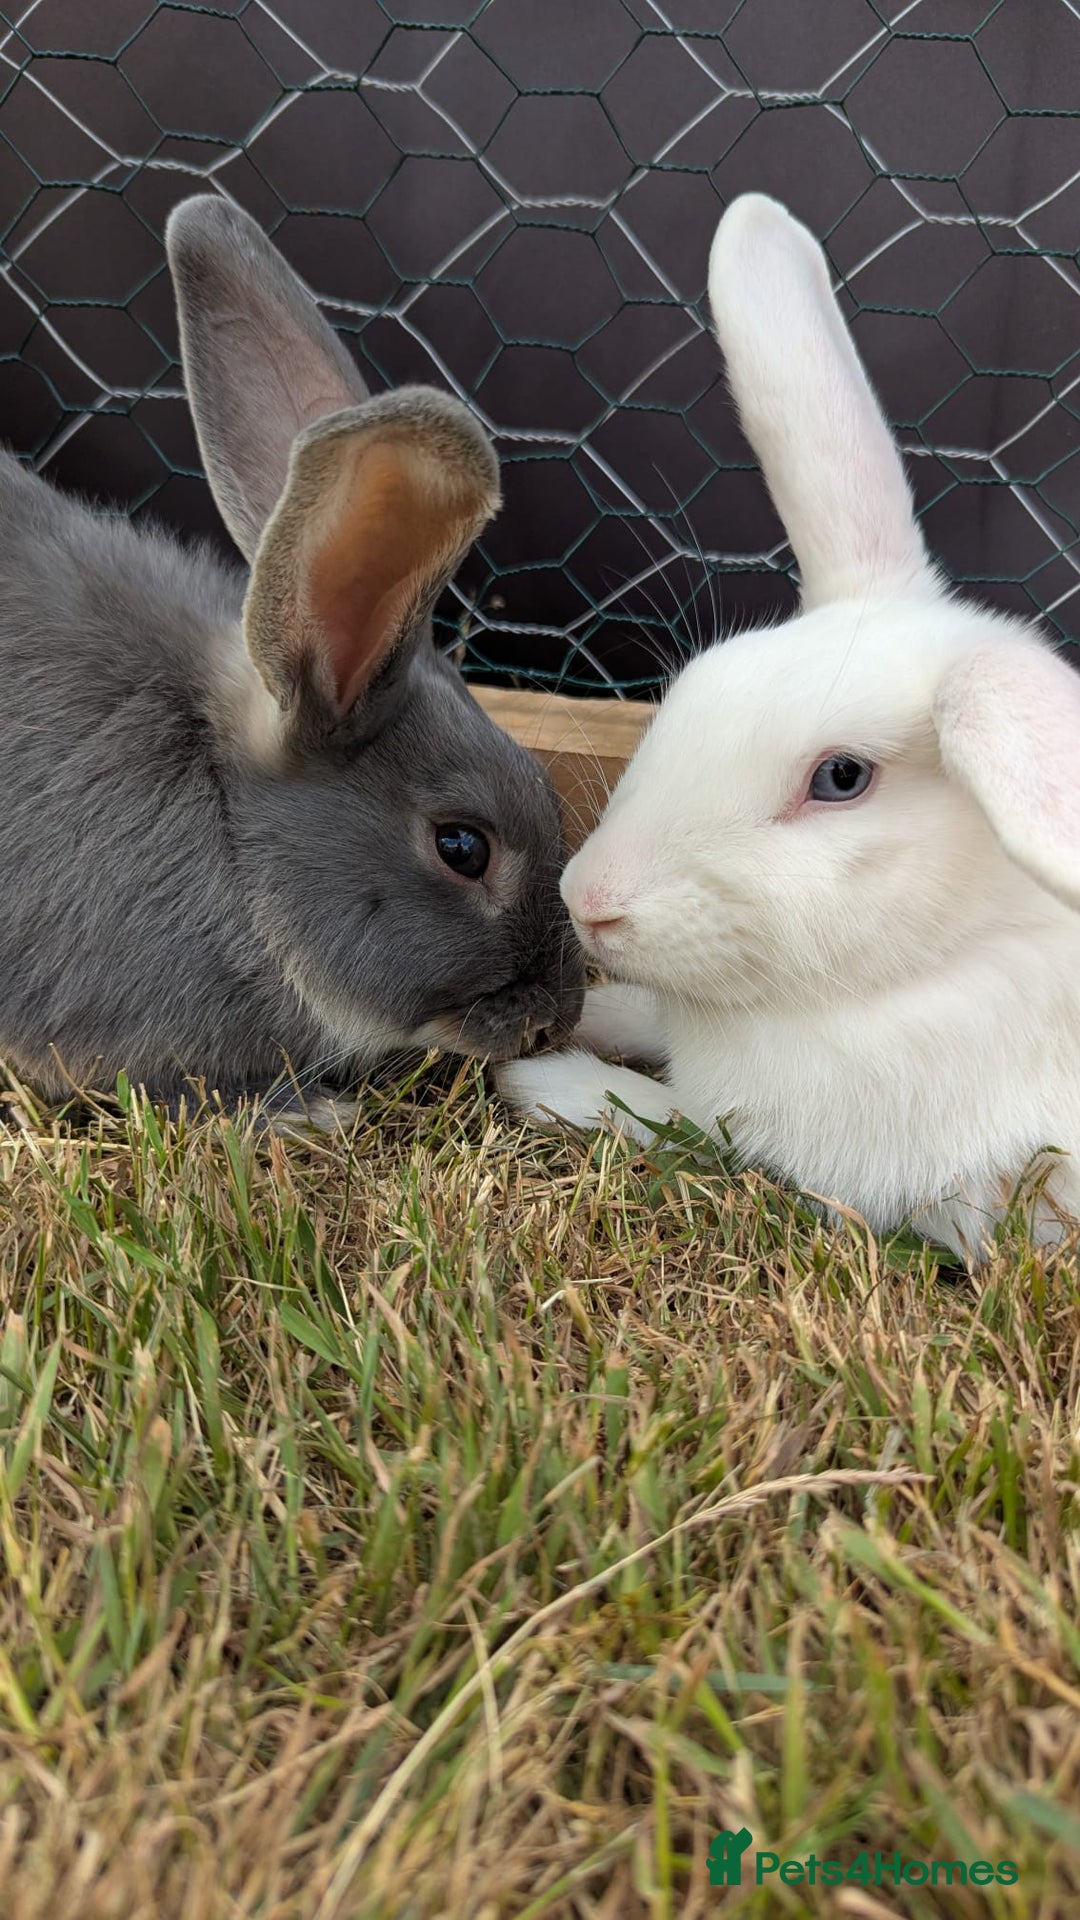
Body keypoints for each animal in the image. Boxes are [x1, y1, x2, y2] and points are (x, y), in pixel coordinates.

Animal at [498, 191, 1080, 1265]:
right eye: (697, 685)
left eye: (841, 778)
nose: (589, 899)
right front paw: (586, 1011)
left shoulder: (776, 1150)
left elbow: (658, 1120)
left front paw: (544, 1078)